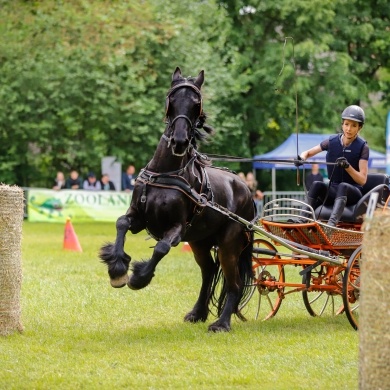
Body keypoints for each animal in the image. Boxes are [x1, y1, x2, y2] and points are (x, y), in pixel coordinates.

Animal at [99, 68, 254, 332]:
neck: (167, 171)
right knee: (209, 272)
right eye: (171, 99)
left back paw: (221, 323)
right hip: (200, 241)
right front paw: (117, 268)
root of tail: (245, 188)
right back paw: (198, 312)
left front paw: (139, 277)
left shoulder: (178, 227)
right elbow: (121, 223)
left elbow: (161, 247)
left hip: (229, 242)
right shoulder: (139, 216)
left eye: (196, 104)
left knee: (234, 282)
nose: (180, 141)